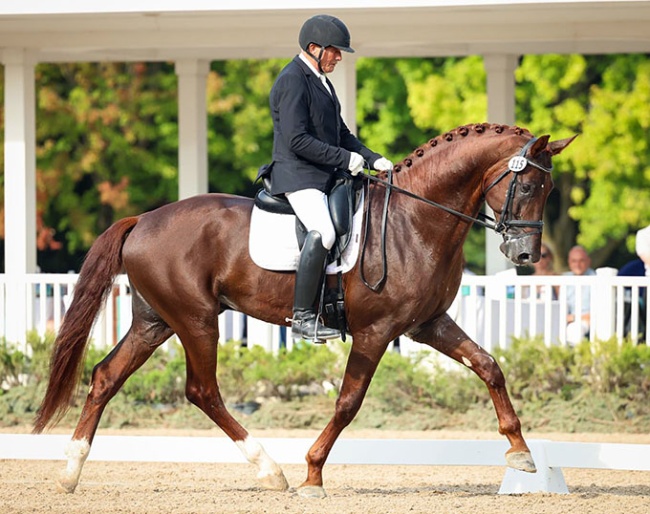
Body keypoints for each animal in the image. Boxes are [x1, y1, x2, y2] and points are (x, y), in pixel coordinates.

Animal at [34, 122, 572, 494]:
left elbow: (488, 365)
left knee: (106, 376)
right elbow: (348, 401)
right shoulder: (376, 331)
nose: (526, 256)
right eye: (527, 187)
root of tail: (143, 220)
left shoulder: (427, 325)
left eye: (547, 190)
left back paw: (69, 472)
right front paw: (313, 474)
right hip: (196, 320)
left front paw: (522, 454)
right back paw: (271, 471)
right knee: (202, 390)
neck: (416, 218)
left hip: (155, 322)